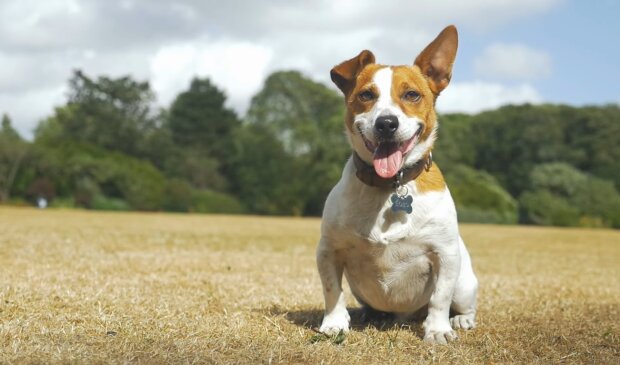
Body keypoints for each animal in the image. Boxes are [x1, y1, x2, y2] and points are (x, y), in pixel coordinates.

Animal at [318, 26, 478, 344]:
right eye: (367, 94)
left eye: (412, 94)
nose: (386, 123)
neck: (389, 186)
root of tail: (403, 318)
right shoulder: (328, 251)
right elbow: (332, 291)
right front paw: (335, 323)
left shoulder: (445, 255)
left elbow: (440, 298)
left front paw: (438, 330)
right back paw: (367, 314)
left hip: (465, 284)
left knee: (462, 304)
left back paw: (461, 320)